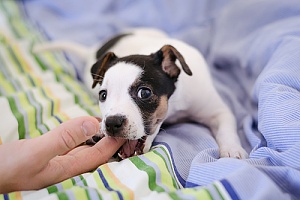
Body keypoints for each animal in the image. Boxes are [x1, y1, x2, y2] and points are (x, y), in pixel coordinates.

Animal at [33, 27, 248, 159]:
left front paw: (232, 150)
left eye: (144, 93)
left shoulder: (217, 111)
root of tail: (92, 51)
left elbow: (226, 128)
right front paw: (97, 134)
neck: (174, 107)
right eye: (103, 95)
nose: (111, 123)